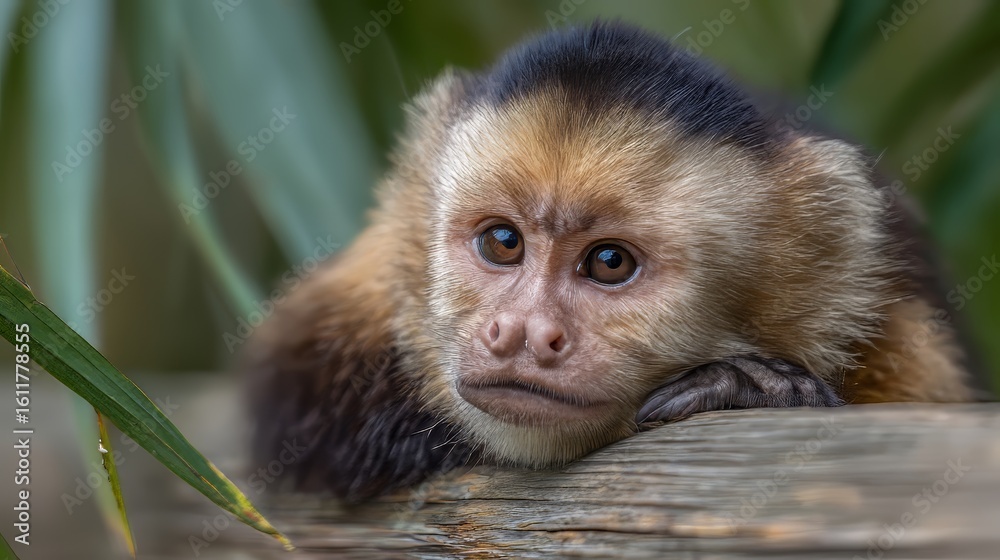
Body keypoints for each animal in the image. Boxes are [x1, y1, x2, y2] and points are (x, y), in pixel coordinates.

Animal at [246, 22, 986, 502]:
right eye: (503, 243)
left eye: (608, 262)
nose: (520, 333)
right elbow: (293, 385)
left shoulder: (897, 315)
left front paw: (752, 389)